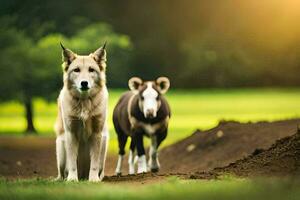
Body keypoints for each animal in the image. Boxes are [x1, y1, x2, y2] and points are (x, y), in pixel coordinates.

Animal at [54, 42, 109, 181]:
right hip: (61, 147)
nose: (84, 83)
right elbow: (72, 162)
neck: (84, 102)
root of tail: (83, 175)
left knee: (100, 169)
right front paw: (72, 179)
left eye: (91, 70)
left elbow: (94, 163)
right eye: (76, 70)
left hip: (104, 144)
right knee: (62, 172)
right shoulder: (71, 133)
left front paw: (93, 179)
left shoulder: (97, 133)